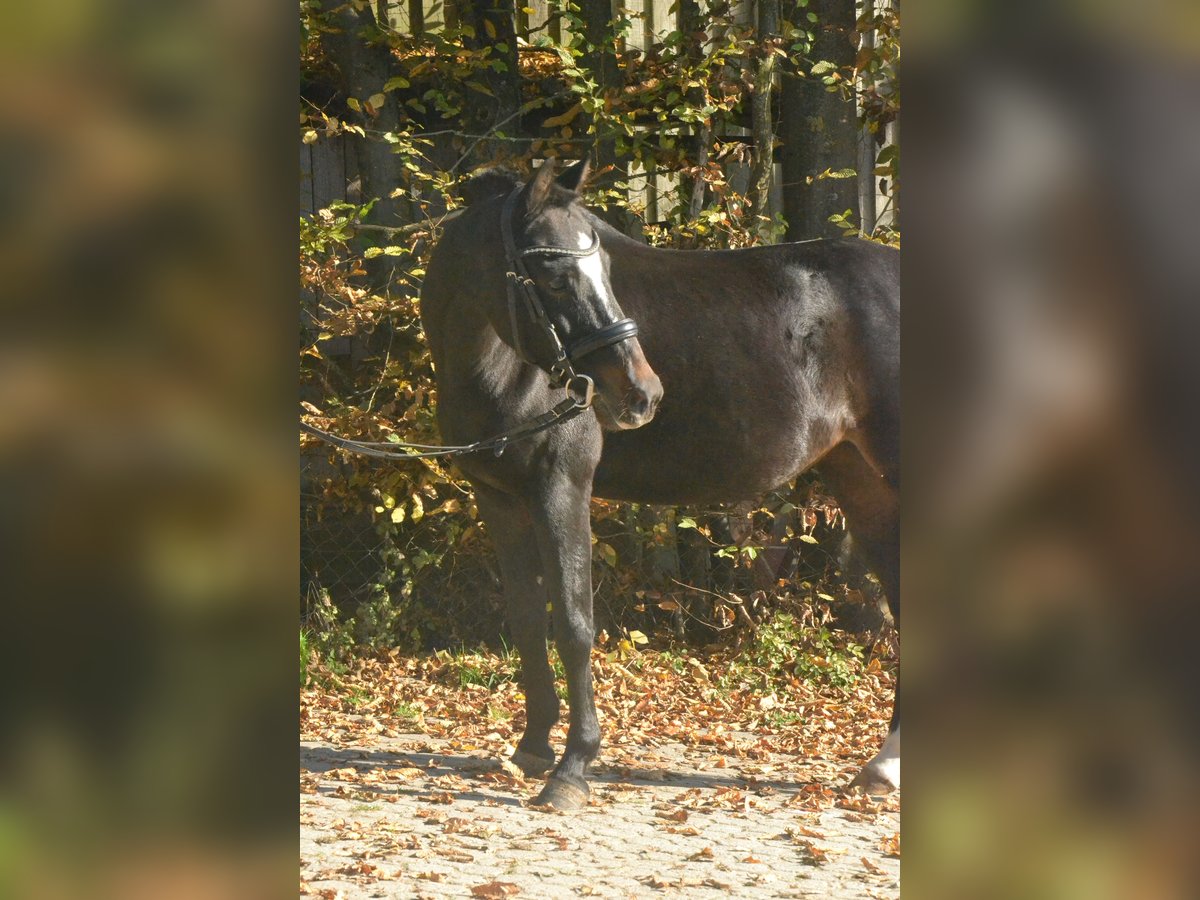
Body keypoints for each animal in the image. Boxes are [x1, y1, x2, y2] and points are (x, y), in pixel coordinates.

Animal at [417, 157, 897, 811]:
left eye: (604, 269)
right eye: (555, 278)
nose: (641, 393)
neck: (501, 365)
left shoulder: (561, 489)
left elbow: (573, 624)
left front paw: (571, 769)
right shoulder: (500, 499)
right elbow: (526, 620)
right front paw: (532, 747)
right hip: (860, 477)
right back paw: (882, 768)